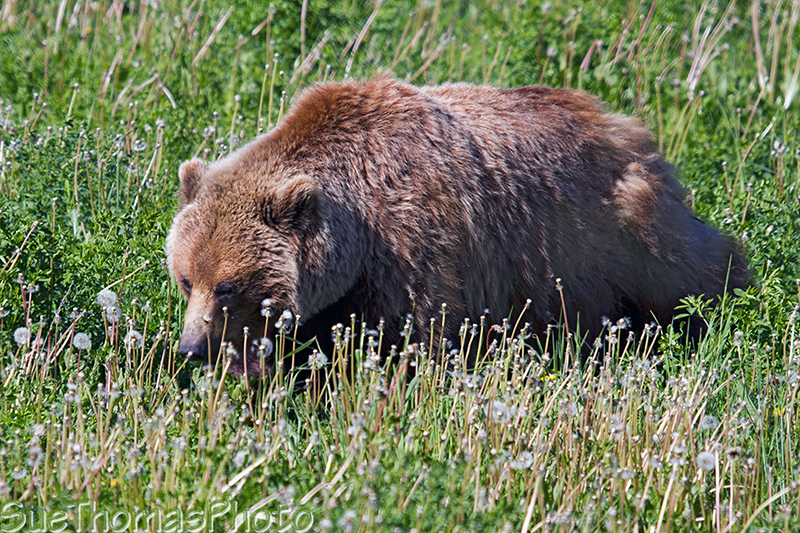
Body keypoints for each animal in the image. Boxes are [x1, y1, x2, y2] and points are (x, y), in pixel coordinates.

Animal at [166, 76, 748, 376]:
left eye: (228, 285)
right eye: (186, 279)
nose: (190, 348)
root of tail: (624, 124)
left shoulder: (411, 248)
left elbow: (412, 335)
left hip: (612, 232)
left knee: (687, 268)